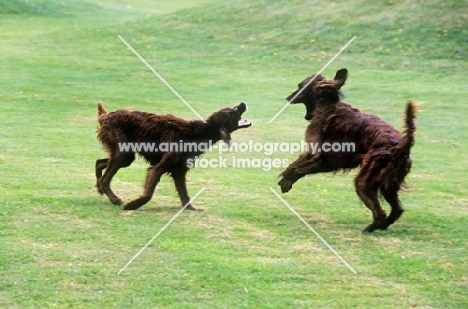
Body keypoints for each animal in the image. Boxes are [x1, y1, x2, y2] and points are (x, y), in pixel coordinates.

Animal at [95, 101, 252, 209]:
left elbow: (185, 196)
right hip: (123, 154)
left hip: (125, 155)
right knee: (105, 178)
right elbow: (148, 194)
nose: (243, 103)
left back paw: (100, 188)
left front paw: (191, 209)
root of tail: (105, 115)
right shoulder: (158, 168)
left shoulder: (179, 171)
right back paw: (114, 198)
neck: (200, 133)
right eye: (233, 111)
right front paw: (132, 205)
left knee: (99, 163)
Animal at [278, 68, 416, 231]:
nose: (288, 97)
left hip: (364, 182)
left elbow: (298, 168)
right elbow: (296, 165)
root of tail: (401, 147)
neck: (327, 105)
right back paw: (382, 226)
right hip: (388, 185)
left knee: (380, 212)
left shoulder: (320, 157)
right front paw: (286, 178)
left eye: (301, 86)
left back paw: (370, 228)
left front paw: (287, 180)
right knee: (397, 209)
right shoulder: (326, 160)